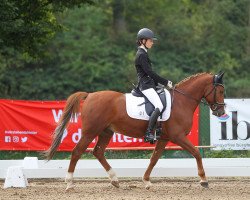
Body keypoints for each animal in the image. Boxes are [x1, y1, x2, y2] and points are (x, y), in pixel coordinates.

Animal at [44, 71, 226, 189]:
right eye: (221, 90)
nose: (221, 112)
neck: (182, 102)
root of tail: (89, 95)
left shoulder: (164, 138)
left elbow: (154, 159)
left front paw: (146, 181)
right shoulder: (178, 136)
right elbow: (196, 153)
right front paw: (203, 180)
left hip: (106, 131)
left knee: (98, 152)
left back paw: (115, 180)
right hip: (90, 131)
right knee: (77, 152)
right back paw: (69, 183)